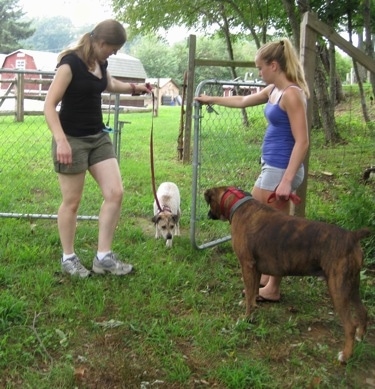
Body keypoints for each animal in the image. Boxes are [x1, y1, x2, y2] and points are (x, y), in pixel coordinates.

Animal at [206, 185, 374, 360]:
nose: (208, 214)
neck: (239, 203)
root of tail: (351, 236)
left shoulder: (247, 265)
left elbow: (249, 296)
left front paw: (246, 318)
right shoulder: (255, 269)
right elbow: (253, 292)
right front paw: (253, 304)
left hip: (338, 289)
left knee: (350, 325)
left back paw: (345, 356)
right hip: (352, 285)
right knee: (363, 311)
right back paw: (360, 336)